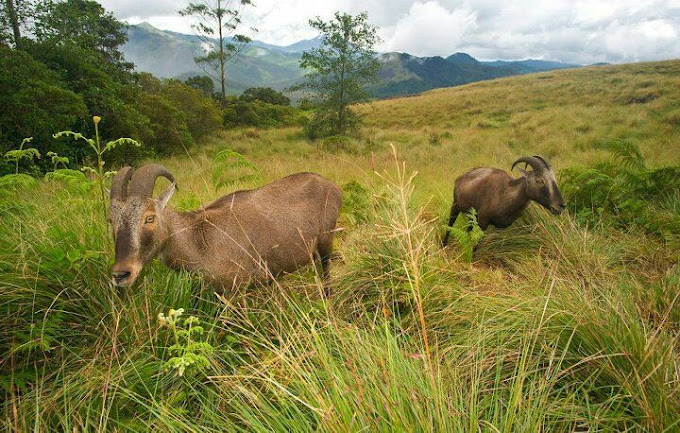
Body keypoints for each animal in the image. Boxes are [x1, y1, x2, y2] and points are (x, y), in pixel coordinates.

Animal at [109, 164, 342, 292]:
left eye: (149, 218)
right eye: (111, 220)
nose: (121, 274)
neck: (199, 238)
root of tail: (332, 185)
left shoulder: (236, 288)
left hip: (326, 242)